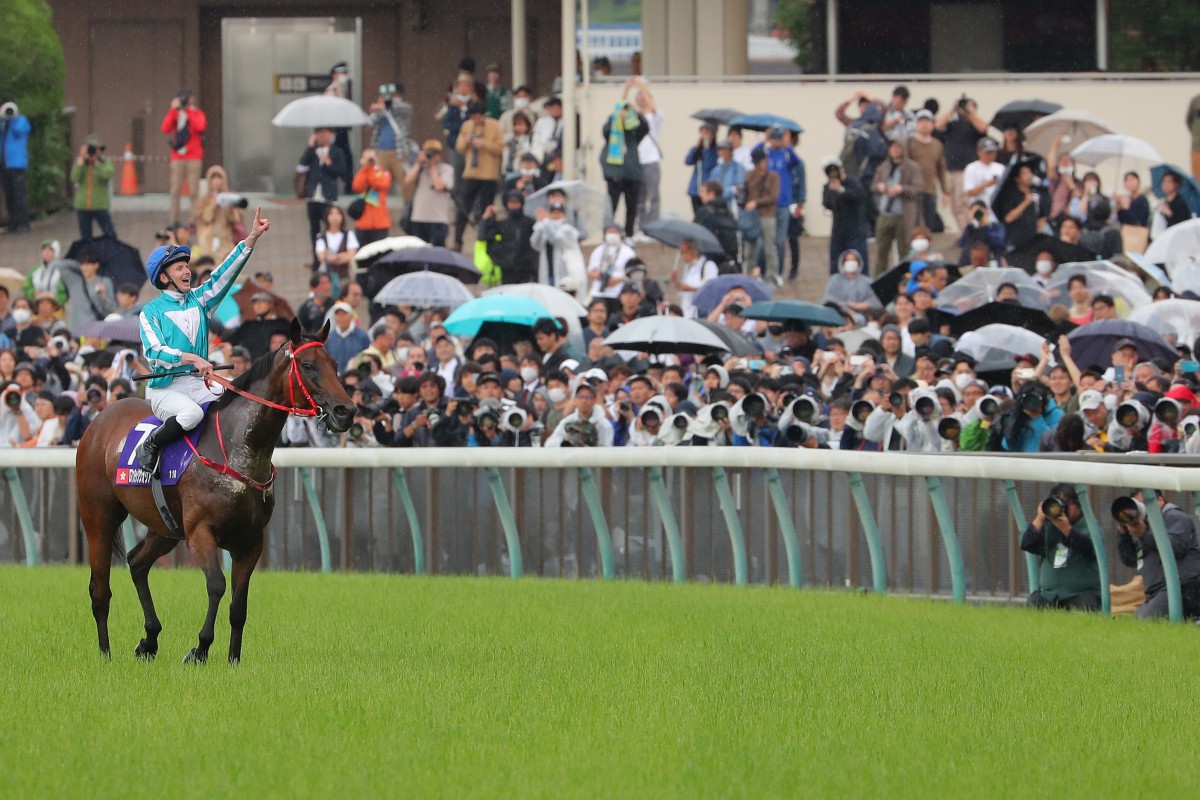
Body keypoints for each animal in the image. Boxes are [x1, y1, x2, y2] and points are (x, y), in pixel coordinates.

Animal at [76, 319, 350, 662]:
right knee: (100, 589)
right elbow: (217, 585)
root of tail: (99, 419)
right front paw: (200, 648)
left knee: (137, 562)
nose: (346, 411)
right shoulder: (200, 532)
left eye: (335, 365)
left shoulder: (251, 541)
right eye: (308, 365)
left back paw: (149, 640)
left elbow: (239, 605)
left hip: (165, 526)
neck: (237, 450)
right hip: (98, 516)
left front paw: (233, 659)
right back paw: (105, 653)